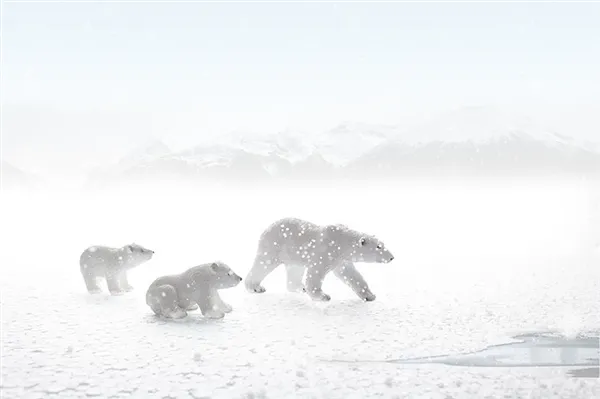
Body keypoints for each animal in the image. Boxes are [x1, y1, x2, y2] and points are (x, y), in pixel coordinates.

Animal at [244, 219, 394, 304]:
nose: (392, 257)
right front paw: (323, 296)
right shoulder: (325, 252)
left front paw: (370, 296)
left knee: (295, 270)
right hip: (273, 246)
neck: (342, 242)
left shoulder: (341, 260)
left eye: (382, 244)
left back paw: (301, 287)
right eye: (378, 246)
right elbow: (316, 272)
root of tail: (267, 228)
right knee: (263, 264)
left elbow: (351, 274)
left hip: (292, 255)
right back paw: (256, 287)